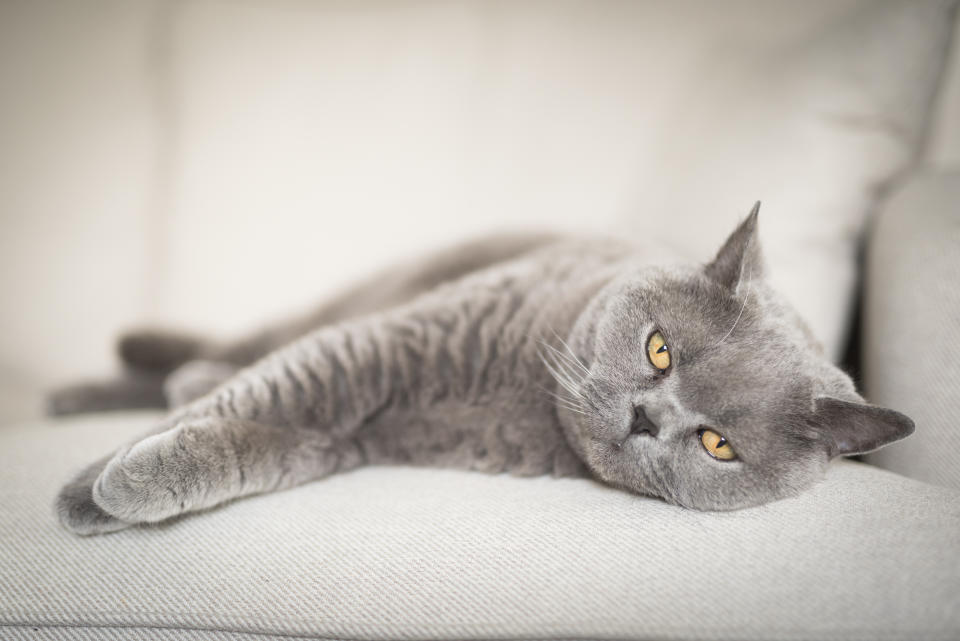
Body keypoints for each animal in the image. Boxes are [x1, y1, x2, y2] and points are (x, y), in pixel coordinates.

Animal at [54, 205, 916, 536]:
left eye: (717, 445)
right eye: (659, 349)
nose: (647, 417)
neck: (521, 395)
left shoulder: (357, 434)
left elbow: (262, 438)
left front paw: (111, 489)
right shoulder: (383, 341)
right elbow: (277, 382)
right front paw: (90, 487)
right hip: (359, 293)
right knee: (256, 340)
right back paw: (100, 379)